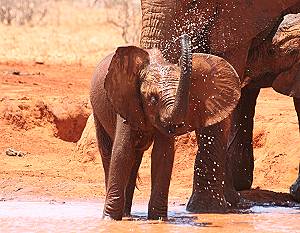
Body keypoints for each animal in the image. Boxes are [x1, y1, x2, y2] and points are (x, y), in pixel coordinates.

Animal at [89, 35, 241, 220]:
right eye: (153, 99)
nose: (184, 36)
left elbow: (163, 154)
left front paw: (158, 220)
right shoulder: (126, 102)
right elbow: (122, 152)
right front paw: (110, 220)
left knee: (135, 158)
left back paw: (127, 214)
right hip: (97, 109)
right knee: (108, 152)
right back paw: (124, 215)